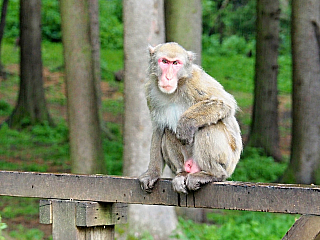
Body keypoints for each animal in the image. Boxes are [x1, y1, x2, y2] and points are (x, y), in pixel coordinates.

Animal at [139, 42, 241, 194]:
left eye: (176, 63)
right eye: (164, 61)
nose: (168, 77)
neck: (175, 90)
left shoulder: (196, 80)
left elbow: (224, 103)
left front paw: (186, 123)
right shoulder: (150, 92)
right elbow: (159, 129)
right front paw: (152, 173)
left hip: (227, 162)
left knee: (208, 126)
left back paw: (213, 174)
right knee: (168, 131)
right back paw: (182, 173)